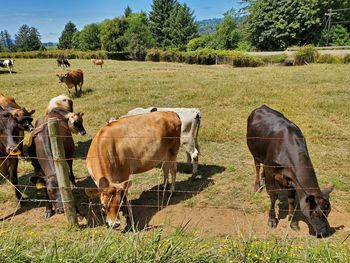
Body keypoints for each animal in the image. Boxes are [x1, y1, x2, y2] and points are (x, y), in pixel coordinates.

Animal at [246, 105, 334, 239]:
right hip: (255, 153)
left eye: (328, 211)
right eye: (317, 212)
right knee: (257, 167)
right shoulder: (270, 170)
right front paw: (272, 219)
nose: (325, 233)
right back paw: (257, 186)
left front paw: (292, 222)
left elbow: (292, 200)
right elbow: (273, 195)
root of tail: (261, 107)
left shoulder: (292, 179)